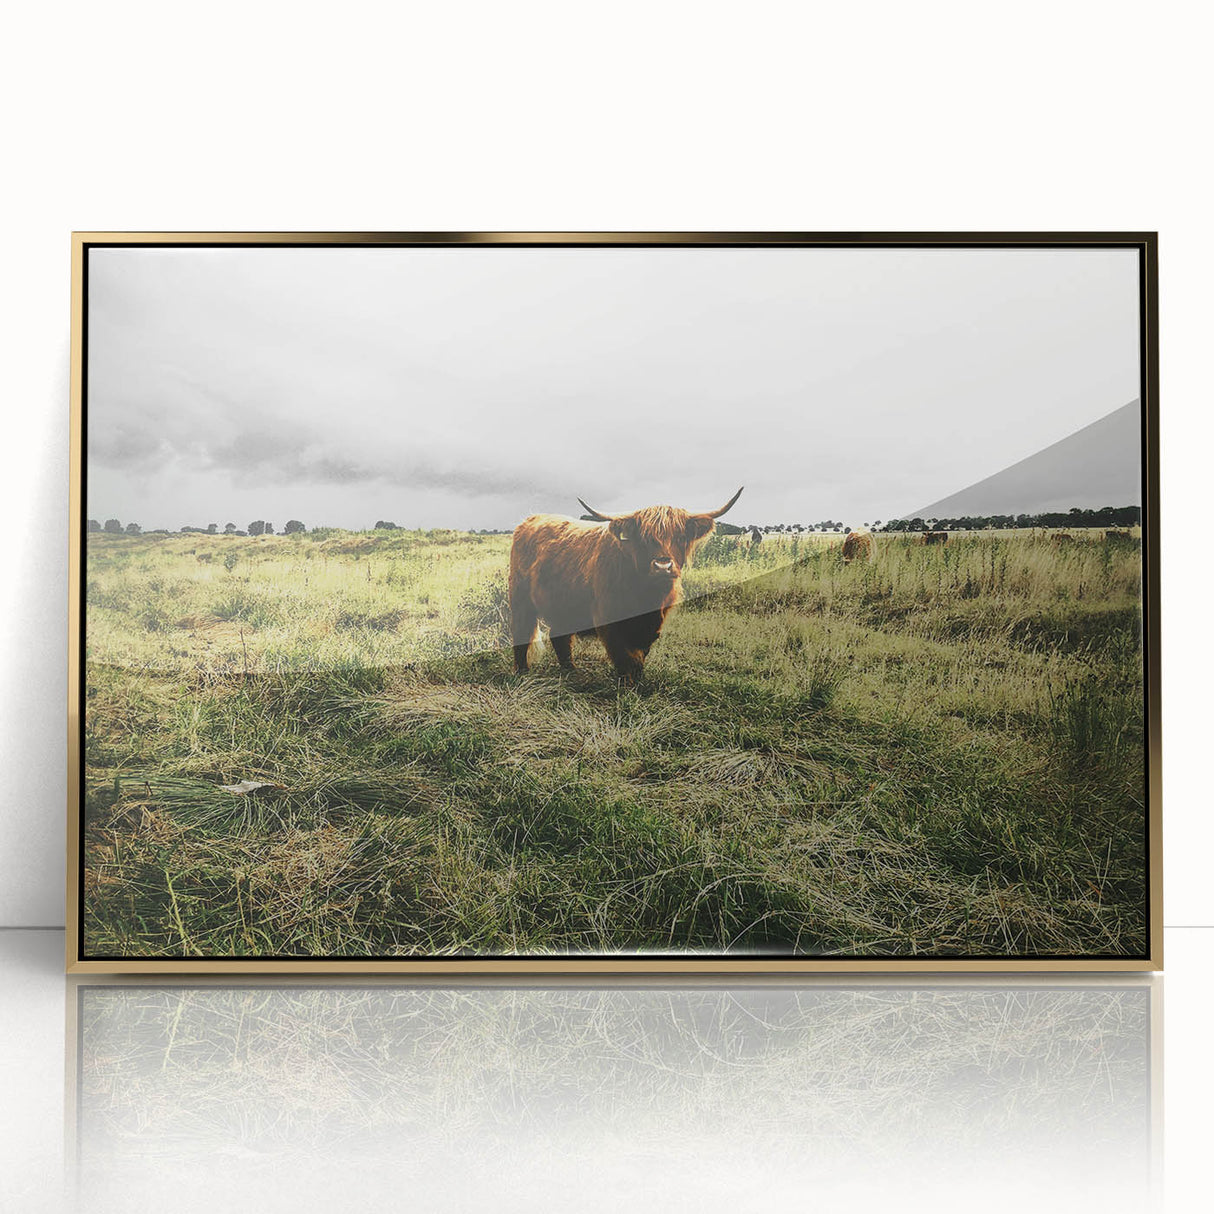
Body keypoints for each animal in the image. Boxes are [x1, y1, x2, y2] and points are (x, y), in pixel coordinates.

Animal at [509, 488, 744, 682]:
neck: (646, 595)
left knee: (560, 636)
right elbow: (623, 655)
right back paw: (522, 672)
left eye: (680, 537)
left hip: (563, 604)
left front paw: (638, 681)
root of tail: (530, 519)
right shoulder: (608, 619)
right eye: (644, 538)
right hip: (520, 599)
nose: (662, 566)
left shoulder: (653, 624)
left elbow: (640, 654)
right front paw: (627, 685)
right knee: (521, 632)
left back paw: (571, 671)